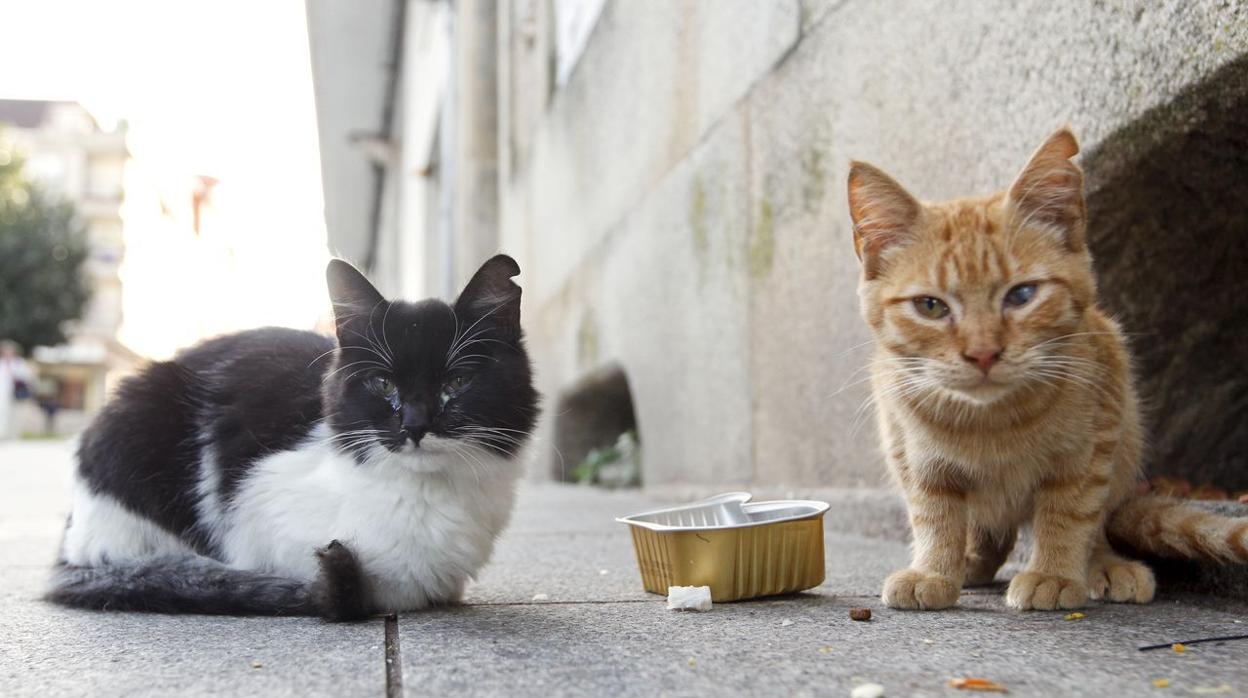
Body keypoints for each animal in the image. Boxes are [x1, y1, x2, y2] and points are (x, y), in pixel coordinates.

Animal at [848, 126, 1248, 611]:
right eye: (930, 306)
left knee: (1096, 524)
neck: (992, 422)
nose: (983, 353)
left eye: (1022, 295)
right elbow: (934, 513)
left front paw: (1054, 573)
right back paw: (972, 560)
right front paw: (935, 570)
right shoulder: (914, 455)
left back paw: (1103, 564)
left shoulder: (1091, 446)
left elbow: (1070, 512)